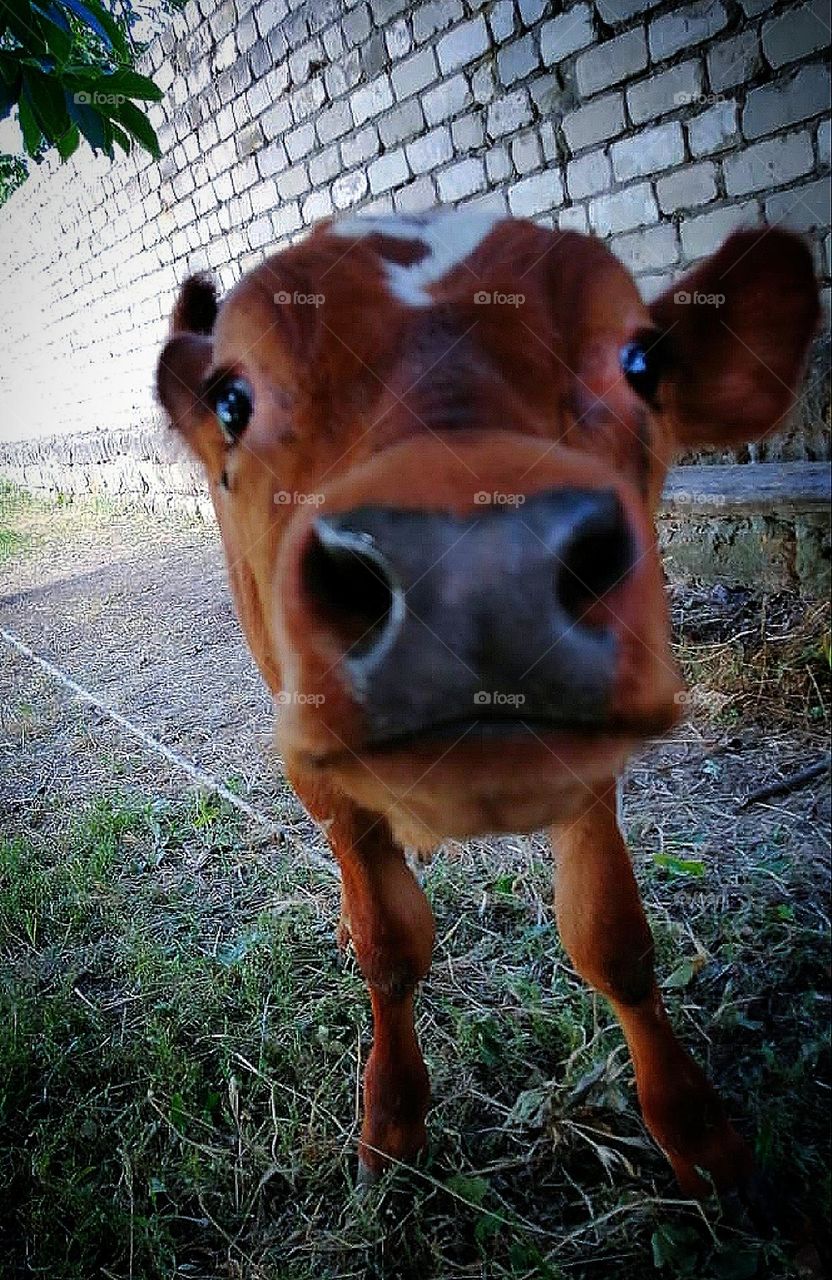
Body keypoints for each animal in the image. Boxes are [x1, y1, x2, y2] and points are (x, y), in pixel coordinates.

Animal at [155, 215, 814, 1192]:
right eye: (232, 401)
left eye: (642, 363)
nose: (477, 571)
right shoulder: (314, 769)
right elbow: (388, 944)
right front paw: (391, 1122)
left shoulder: (591, 772)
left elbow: (611, 938)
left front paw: (697, 1134)